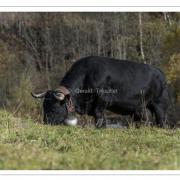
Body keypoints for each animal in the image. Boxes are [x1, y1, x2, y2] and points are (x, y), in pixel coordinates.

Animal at [32, 56, 169, 128]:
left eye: (54, 107)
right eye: (44, 106)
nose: (46, 123)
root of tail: (159, 73)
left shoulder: (102, 100)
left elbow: (99, 116)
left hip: (159, 104)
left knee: (161, 120)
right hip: (140, 108)